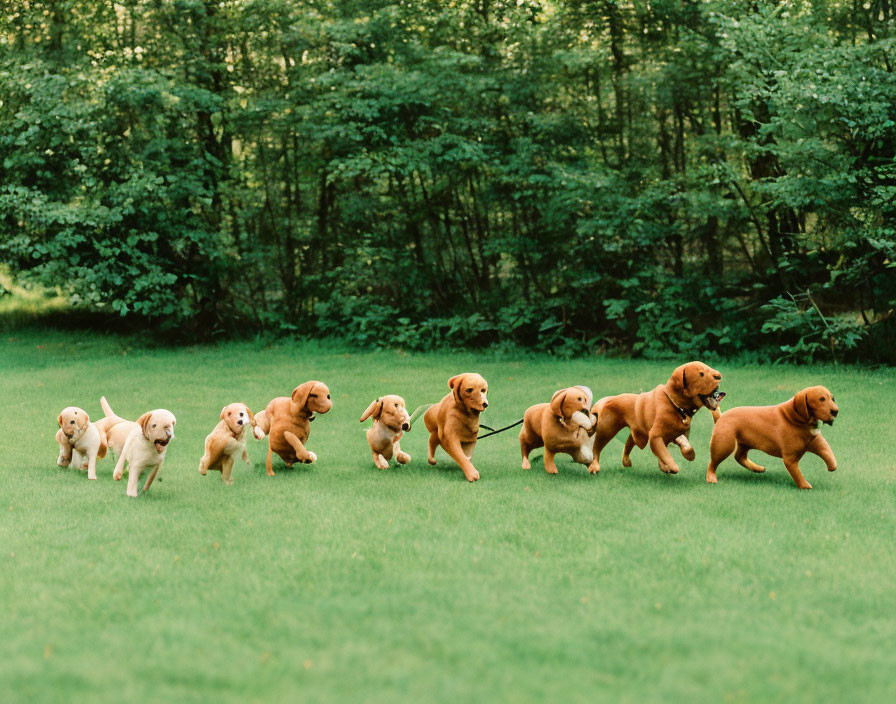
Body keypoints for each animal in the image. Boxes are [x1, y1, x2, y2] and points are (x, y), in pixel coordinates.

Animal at [592, 360, 724, 476]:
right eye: (701, 374)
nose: (718, 375)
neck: (675, 405)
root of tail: (609, 399)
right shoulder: (655, 436)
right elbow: (666, 456)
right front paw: (669, 467)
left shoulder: (676, 435)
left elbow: (685, 449)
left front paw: (671, 464)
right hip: (607, 430)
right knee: (596, 448)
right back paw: (594, 466)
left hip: (636, 432)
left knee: (628, 443)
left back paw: (626, 462)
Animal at [708, 384, 840, 490]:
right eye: (821, 399)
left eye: (832, 398)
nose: (835, 411)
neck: (794, 417)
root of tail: (721, 417)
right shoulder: (790, 459)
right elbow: (797, 473)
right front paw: (804, 485)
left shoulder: (816, 441)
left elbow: (828, 453)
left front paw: (831, 467)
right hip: (724, 445)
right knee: (713, 463)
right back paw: (711, 478)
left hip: (746, 443)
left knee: (739, 457)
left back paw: (757, 468)